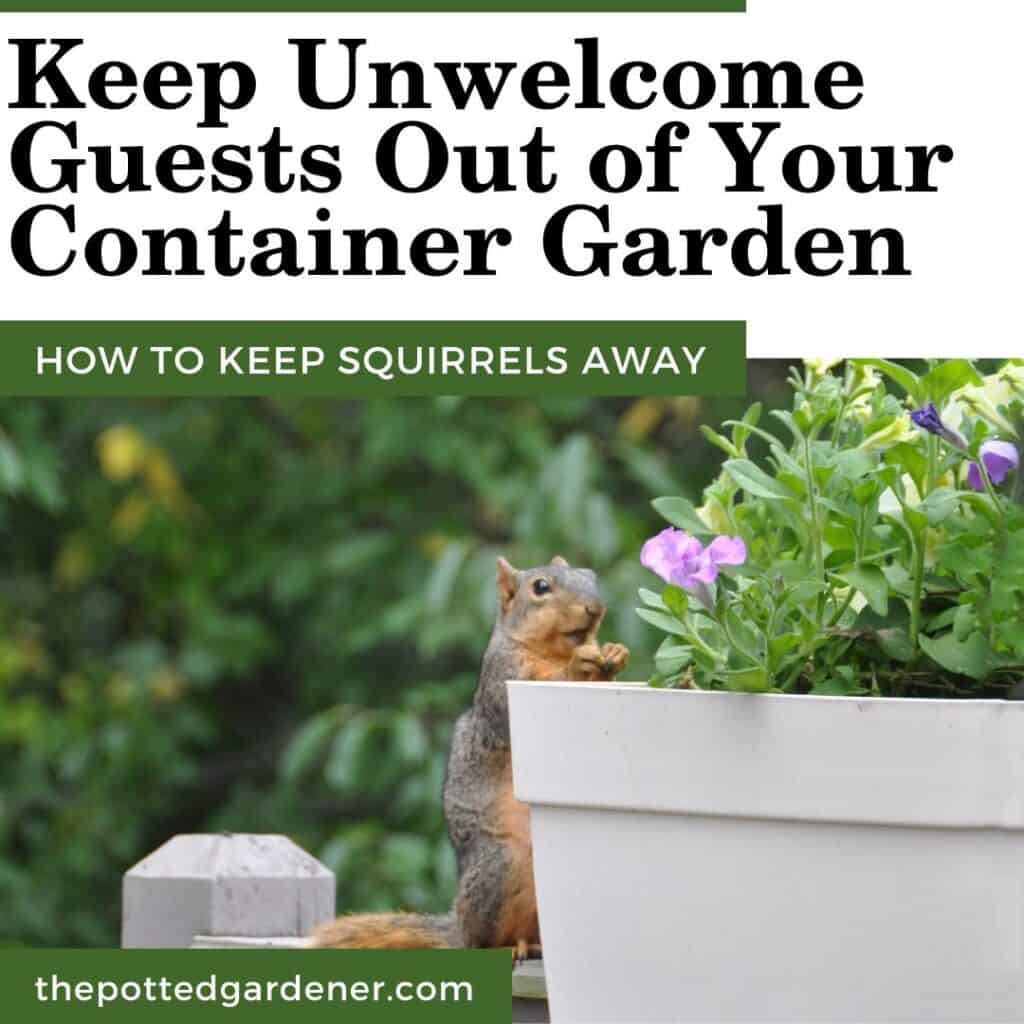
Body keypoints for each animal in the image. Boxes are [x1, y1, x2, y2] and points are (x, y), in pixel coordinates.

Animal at [309, 555, 629, 959]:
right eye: (540, 587)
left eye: (591, 577)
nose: (595, 608)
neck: (551, 651)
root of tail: (458, 928)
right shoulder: (501, 682)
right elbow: (519, 704)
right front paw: (578, 664)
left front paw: (615, 654)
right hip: (500, 865)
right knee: (484, 939)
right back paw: (513, 946)